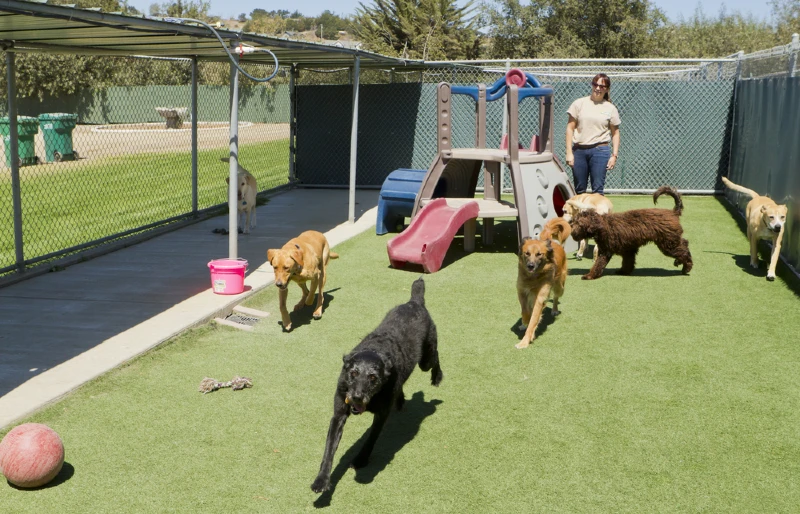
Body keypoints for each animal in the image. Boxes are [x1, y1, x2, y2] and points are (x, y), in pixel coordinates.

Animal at [310, 276, 444, 492]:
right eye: (353, 373)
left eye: (373, 377)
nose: (356, 397)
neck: (375, 349)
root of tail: (415, 302)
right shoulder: (339, 414)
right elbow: (329, 450)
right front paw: (321, 480)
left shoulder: (381, 415)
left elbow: (370, 440)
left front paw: (361, 460)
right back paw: (401, 400)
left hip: (426, 359)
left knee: (436, 356)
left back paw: (437, 377)